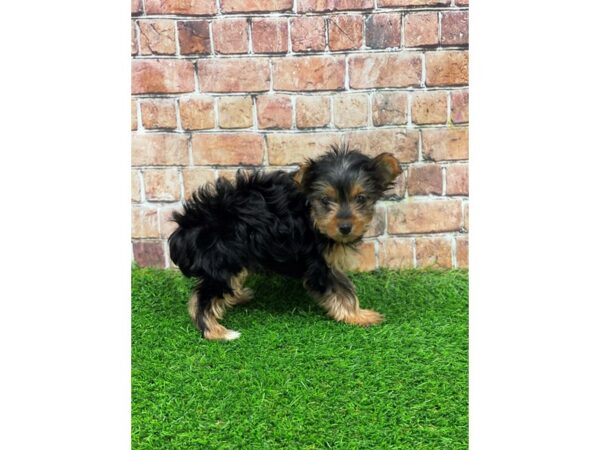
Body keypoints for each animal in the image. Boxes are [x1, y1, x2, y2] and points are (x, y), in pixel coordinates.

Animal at [169, 146, 400, 340]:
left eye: (361, 198)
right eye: (325, 200)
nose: (344, 227)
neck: (311, 215)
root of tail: (186, 228)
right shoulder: (318, 263)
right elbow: (342, 289)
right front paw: (358, 315)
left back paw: (236, 297)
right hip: (223, 258)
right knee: (203, 297)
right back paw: (217, 332)